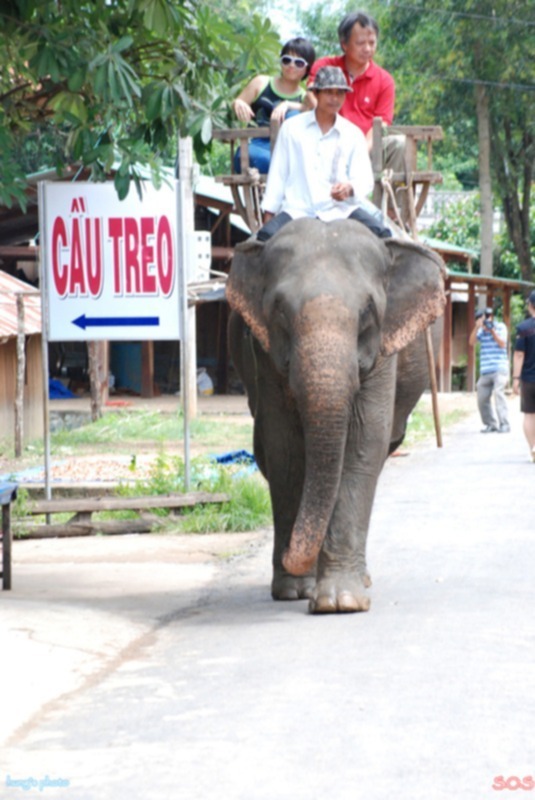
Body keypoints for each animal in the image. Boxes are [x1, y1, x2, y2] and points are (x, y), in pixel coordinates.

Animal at [228, 222, 446, 616]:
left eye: (368, 313)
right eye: (279, 312)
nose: (292, 554)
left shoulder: (383, 349)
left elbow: (364, 442)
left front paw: (341, 602)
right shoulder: (263, 353)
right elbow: (285, 449)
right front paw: (296, 590)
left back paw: (358, 579)